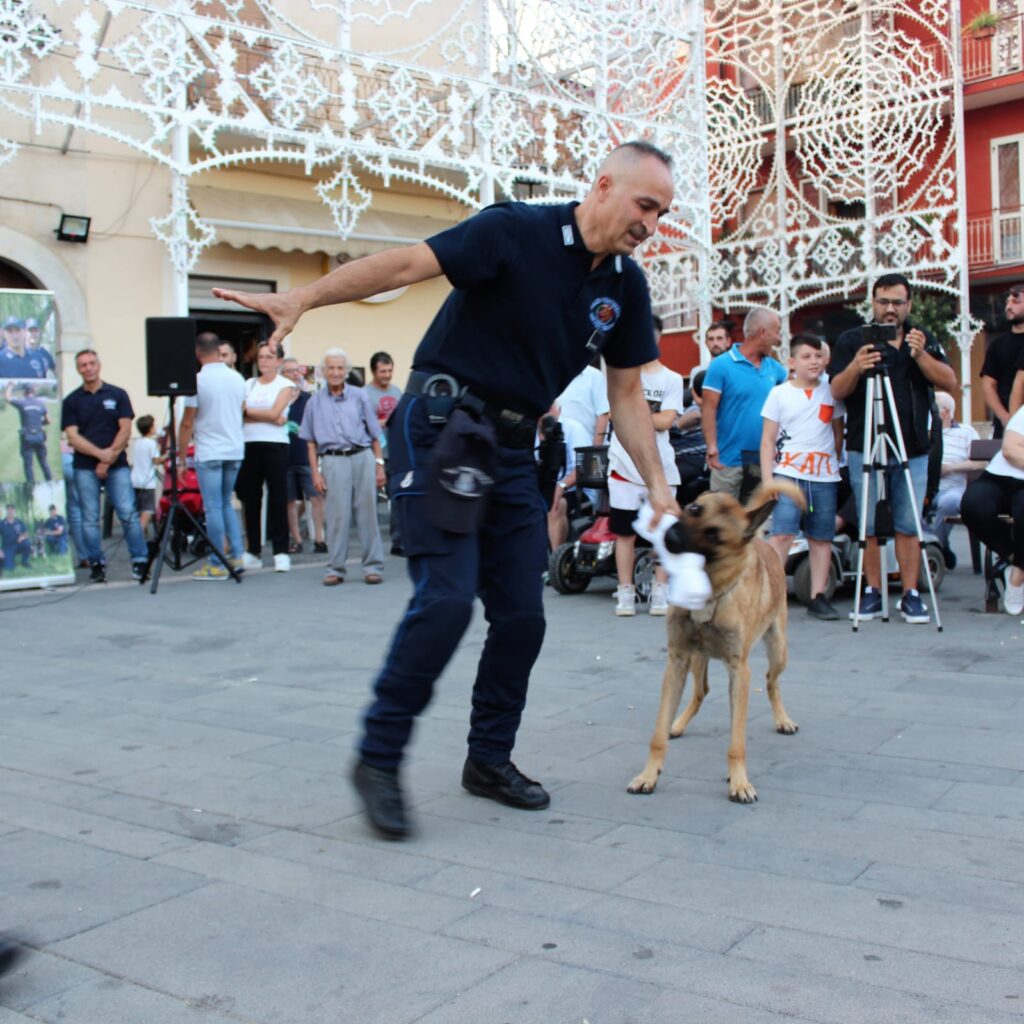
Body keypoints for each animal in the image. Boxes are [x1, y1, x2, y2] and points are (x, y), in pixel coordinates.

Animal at [626, 483, 802, 802]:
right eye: (694, 509)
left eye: (713, 535)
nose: (669, 537)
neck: (710, 594)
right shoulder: (677, 661)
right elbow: (657, 734)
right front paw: (648, 775)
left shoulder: (739, 671)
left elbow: (737, 742)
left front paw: (739, 782)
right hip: (697, 659)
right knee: (701, 691)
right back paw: (677, 724)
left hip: (779, 650)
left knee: (771, 681)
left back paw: (782, 719)